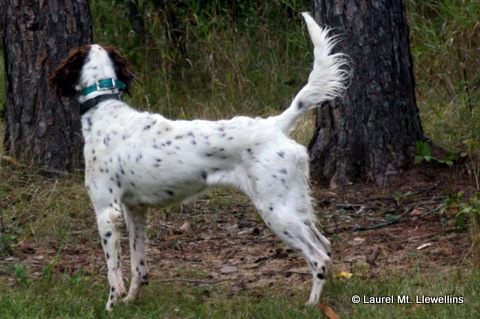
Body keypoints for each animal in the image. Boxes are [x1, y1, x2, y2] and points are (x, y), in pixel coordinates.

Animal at [49, 13, 348, 312]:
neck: (104, 109)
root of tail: (275, 124)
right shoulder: (135, 210)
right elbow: (138, 266)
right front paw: (131, 300)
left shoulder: (106, 213)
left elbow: (114, 272)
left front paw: (112, 306)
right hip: (293, 205)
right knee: (325, 244)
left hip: (275, 210)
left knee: (319, 257)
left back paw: (311, 304)